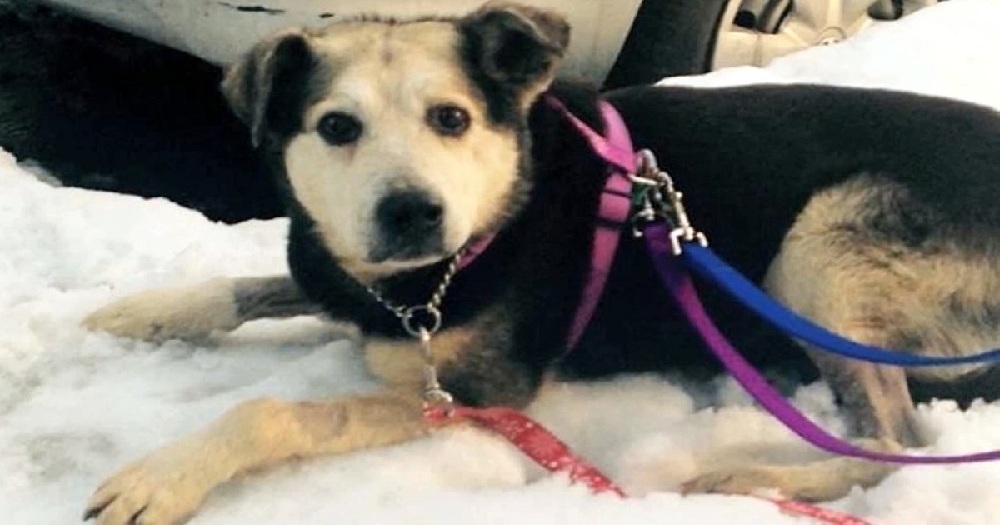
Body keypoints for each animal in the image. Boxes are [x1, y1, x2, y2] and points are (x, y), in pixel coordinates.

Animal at [81, 2, 1000, 524]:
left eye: (450, 118)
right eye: (337, 127)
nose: (413, 211)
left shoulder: (472, 391)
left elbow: (273, 411)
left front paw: (164, 476)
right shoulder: (348, 280)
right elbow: (259, 285)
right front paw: (143, 311)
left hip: (818, 243)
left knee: (898, 444)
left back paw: (748, 474)